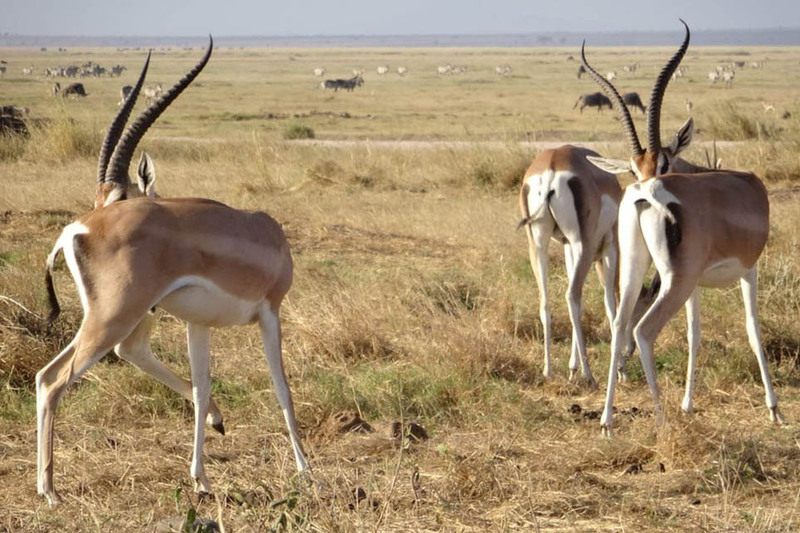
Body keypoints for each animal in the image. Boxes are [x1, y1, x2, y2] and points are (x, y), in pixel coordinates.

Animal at [36, 37, 309, 507]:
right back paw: (50, 490)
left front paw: (201, 477)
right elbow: (282, 387)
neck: (266, 233)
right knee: (52, 380)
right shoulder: (270, 312)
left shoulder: (197, 324)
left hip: (120, 316)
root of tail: (76, 230)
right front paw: (308, 473)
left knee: (55, 373)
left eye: (118, 194)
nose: (98, 211)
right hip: (113, 318)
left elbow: (201, 389)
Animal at [581, 20, 781, 436]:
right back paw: (660, 416)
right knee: (643, 330)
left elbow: (694, 334)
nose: (644, 180)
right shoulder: (748, 270)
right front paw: (775, 408)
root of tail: (645, 196)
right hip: (674, 280)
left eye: (663, 160)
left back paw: (608, 421)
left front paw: (689, 404)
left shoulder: (697, 284)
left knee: (619, 324)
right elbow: (753, 330)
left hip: (637, 270)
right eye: (632, 167)